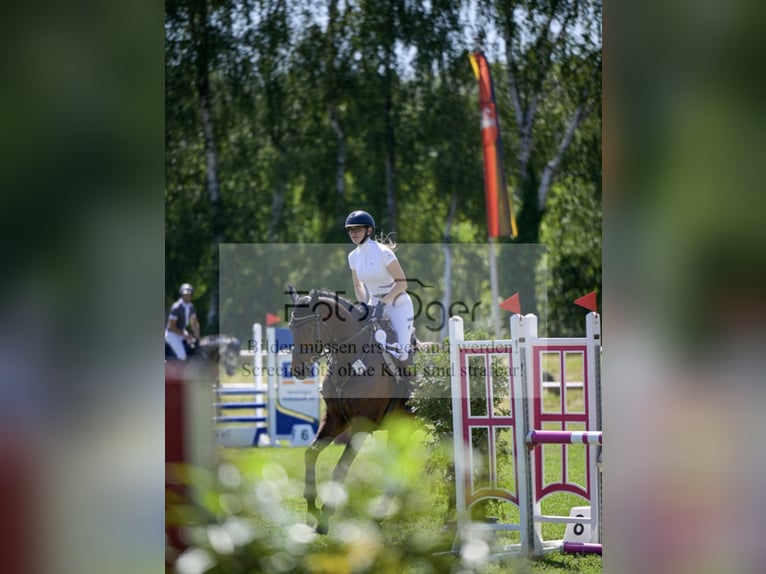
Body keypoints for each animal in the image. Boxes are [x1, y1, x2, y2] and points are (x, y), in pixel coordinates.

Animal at [286, 288, 414, 536]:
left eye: (308, 329)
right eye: (290, 328)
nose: (297, 370)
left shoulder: (361, 425)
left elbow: (340, 469)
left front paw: (326, 517)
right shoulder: (335, 420)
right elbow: (310, 454)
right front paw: (311, 511)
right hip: (400, 428)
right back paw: (383, 513)